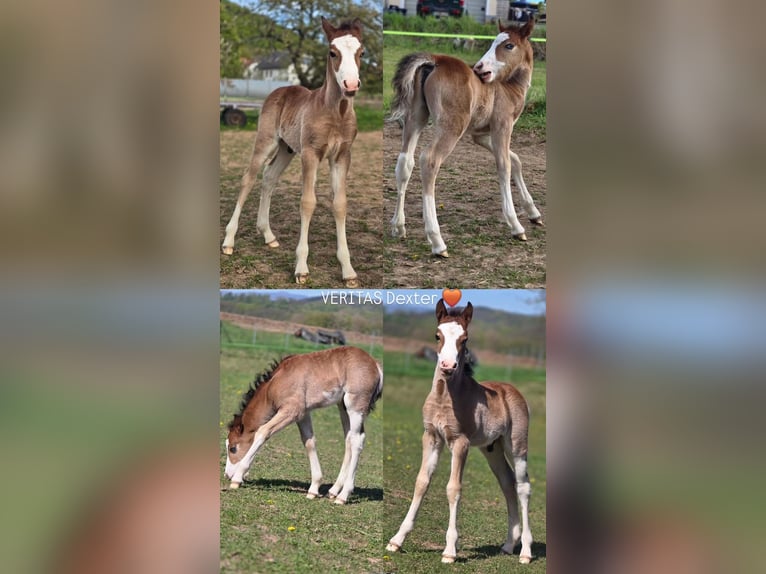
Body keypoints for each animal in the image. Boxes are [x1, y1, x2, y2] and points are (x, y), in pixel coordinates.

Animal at [221, 17, 365, 287]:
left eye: (361, 52)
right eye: (333, 53)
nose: (350, 85)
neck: (336, 113)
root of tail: (280, 90)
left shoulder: (342, 156)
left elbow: (340, 204)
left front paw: (348, 270)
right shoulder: (310, 154)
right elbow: (308, 202)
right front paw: (301, 269)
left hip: (286, 149)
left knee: (269, 177)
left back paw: (268, 235)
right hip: (266, 141)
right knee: (248, 178)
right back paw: (228, 242)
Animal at [224, 346, 383, 505]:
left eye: (233, 448)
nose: (227, 474)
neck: (275, 382)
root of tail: (375, 364)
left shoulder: (292, 410)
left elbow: (263, 432)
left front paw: (237, 478)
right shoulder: (303, 414)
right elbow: (309, 442)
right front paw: (314, 488)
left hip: (355, 407)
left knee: (356, 441)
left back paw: (343, 496)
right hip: (342, 407)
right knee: (349, 440)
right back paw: (333, 491)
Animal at [386, 299, 533, 563]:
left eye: (465, 339)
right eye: (437, 335)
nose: (447, 366)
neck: (444, 398)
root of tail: (512, 390)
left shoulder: (460, 442)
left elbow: (453, 488)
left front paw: (450, 551)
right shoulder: (431, 437)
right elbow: (421, 482)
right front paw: (396, 540)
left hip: (516, 445)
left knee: (523, 486)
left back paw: (525, 551)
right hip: (492, 448)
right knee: (507, 483)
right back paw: (509, 544)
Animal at [389, 19, 542, 258]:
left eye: (508, 45)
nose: (480, 68)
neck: (509, 87)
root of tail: (434, 60)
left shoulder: (480, 134)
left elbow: (515, 160)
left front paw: (534, 212)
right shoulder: (502, 127)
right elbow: (504, 165)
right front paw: (516, 225)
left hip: (416, 117)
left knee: (405, 162)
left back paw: (398, 226)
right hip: (452, 127)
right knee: (429, 160)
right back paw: (437, 241)